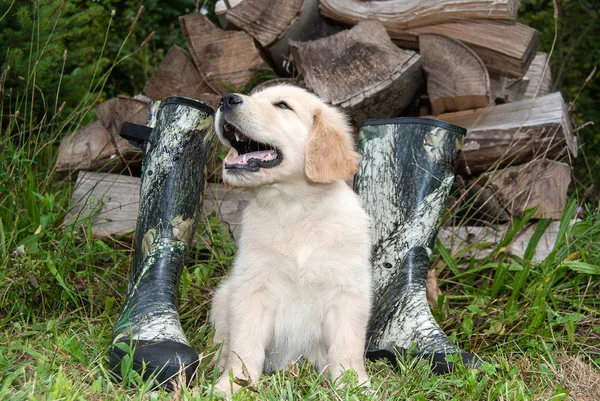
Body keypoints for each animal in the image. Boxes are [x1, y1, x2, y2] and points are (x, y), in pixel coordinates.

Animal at [210, 84, 370, 394]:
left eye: (282, 105)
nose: (225, 100)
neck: (293, 208)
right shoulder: (251, 288)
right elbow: (244, 345)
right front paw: (233, 385)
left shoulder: (347, 291)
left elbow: (347, 347)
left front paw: (354, 386)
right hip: (223, 296)